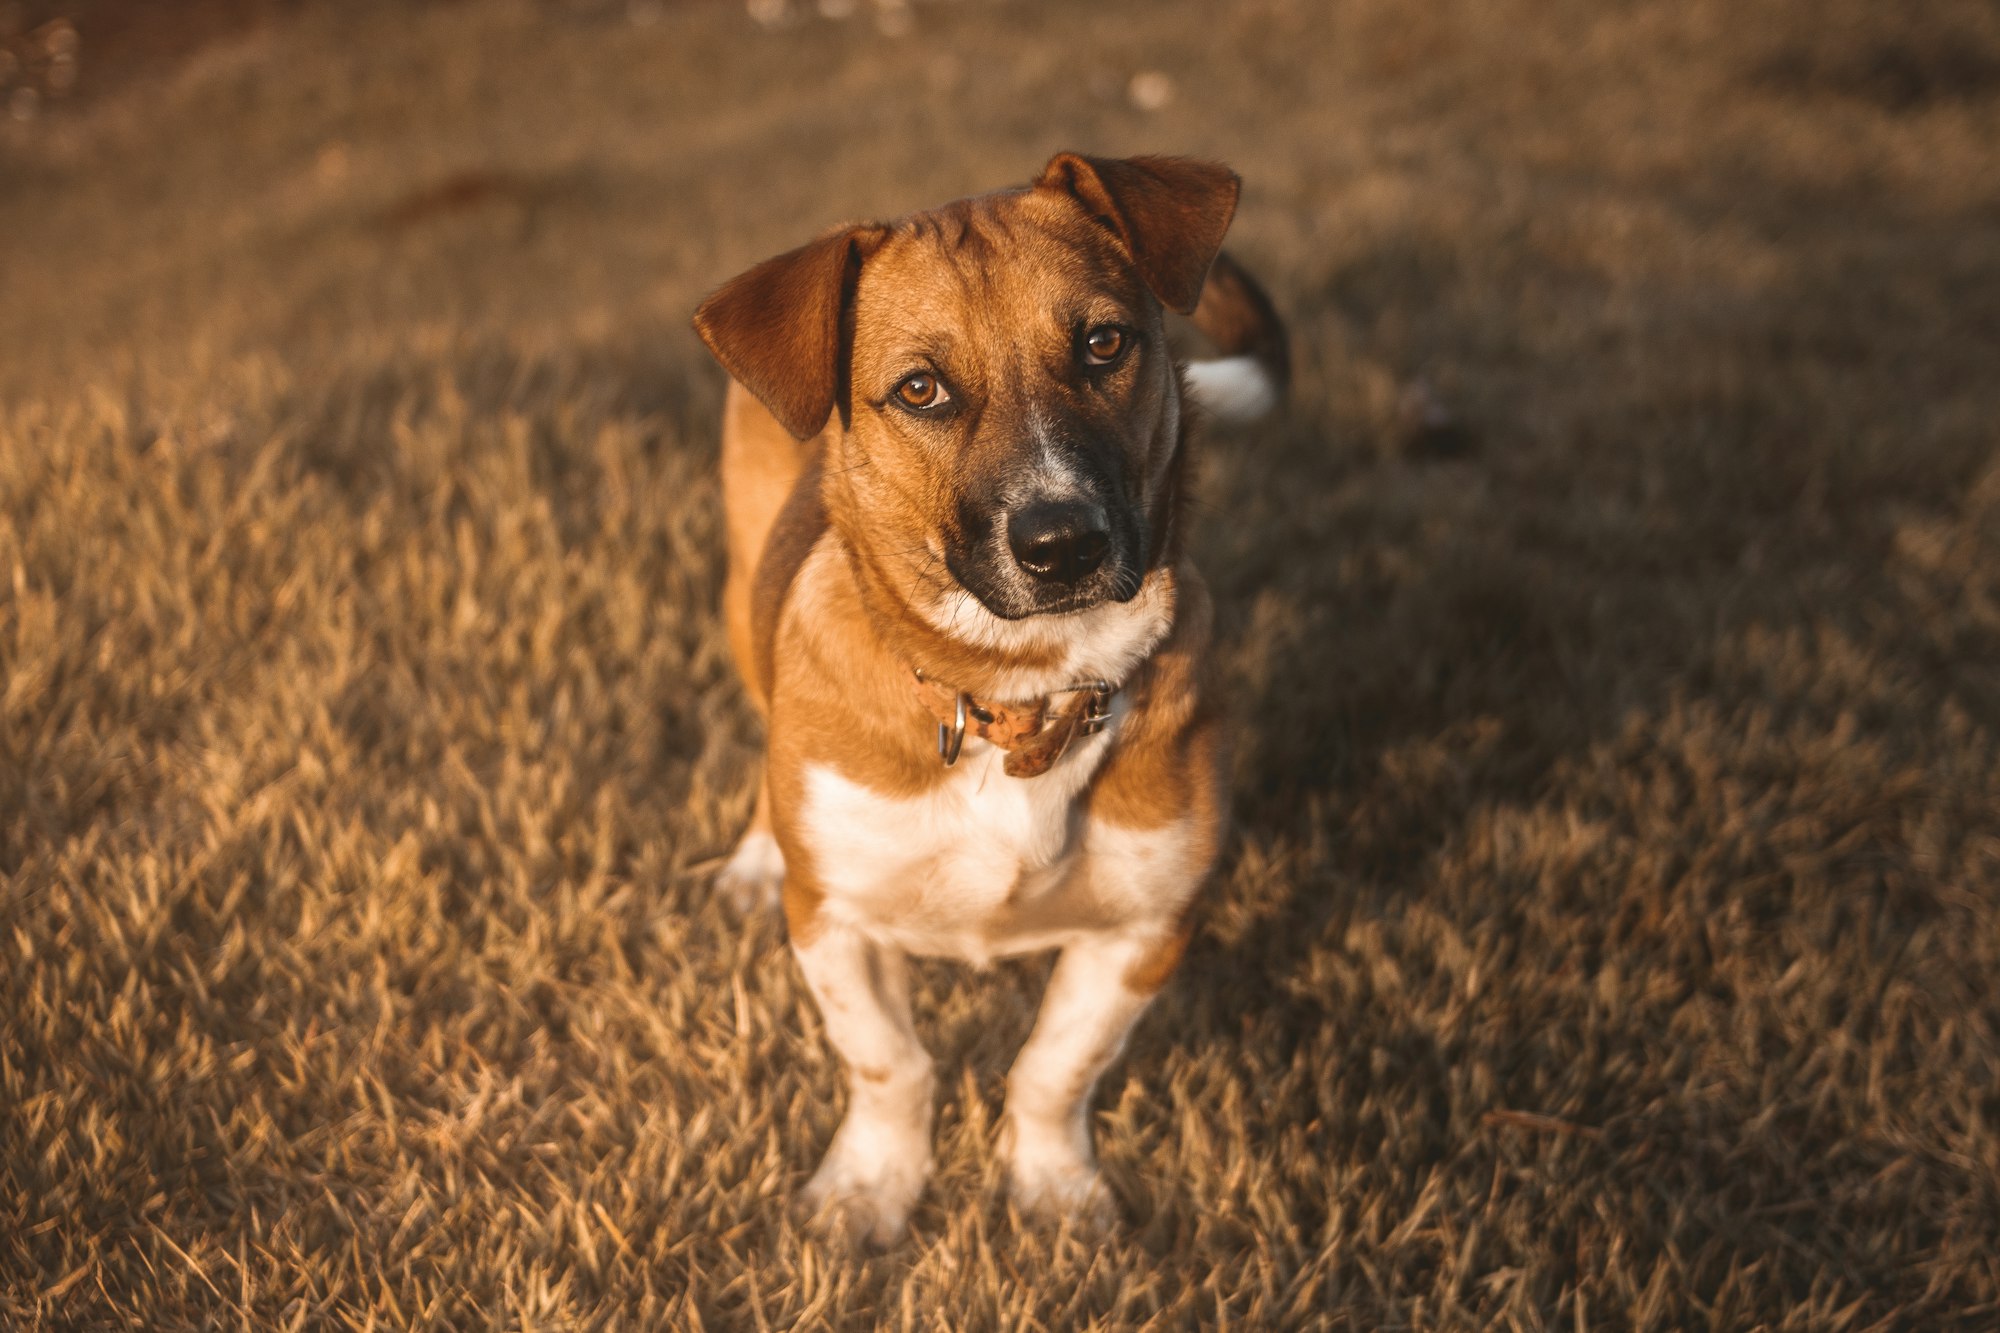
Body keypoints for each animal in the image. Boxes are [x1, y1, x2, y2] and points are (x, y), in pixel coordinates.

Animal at [696, 156, 1288, 1248]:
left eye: (1104, 343)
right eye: (920, 389)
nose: (1064, 545)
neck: (1023, 692)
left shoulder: (1146, 927)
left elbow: (1055, 1066)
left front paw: (1052, 1184)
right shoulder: (832, 918)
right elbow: (889, 1063)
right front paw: (870, 1187)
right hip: (740, 588)